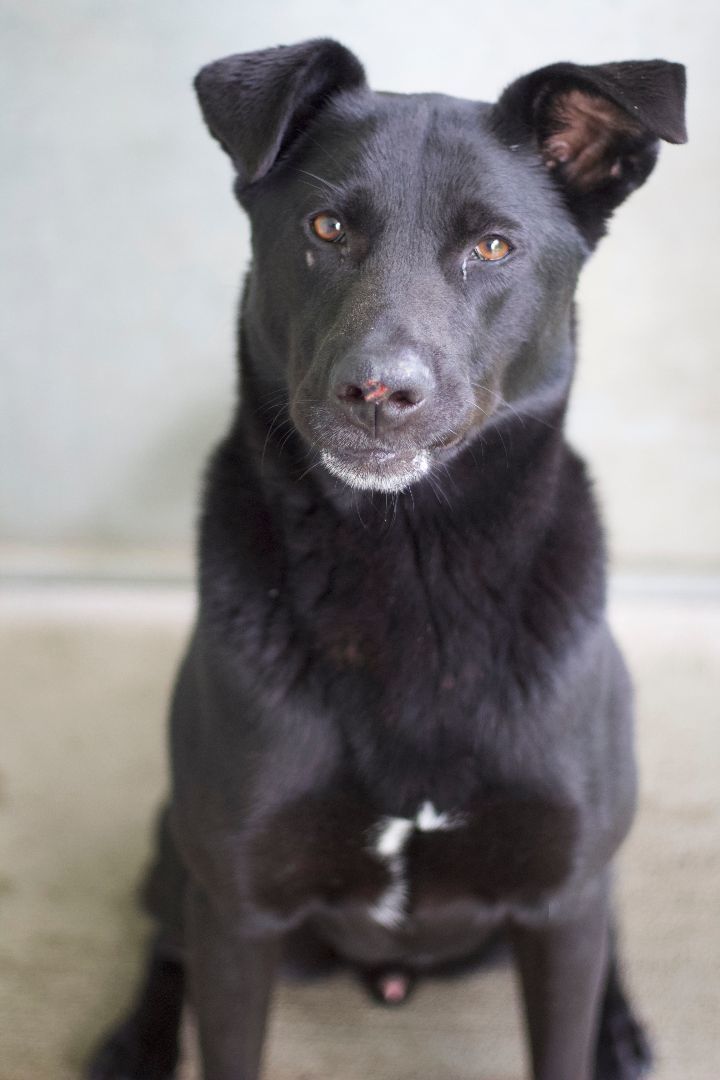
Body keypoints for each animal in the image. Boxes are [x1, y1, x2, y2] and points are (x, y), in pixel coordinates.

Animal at [90, 39, 686, 1080]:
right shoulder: (238, 911)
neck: (412, 569)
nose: (379, 391)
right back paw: (135, 1041)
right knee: (165, 937)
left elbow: (572, 1008)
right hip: (181, 848)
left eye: (493, 247)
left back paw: (621, 1029)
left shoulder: (562, 904)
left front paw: (601, 1029)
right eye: (327, 228)